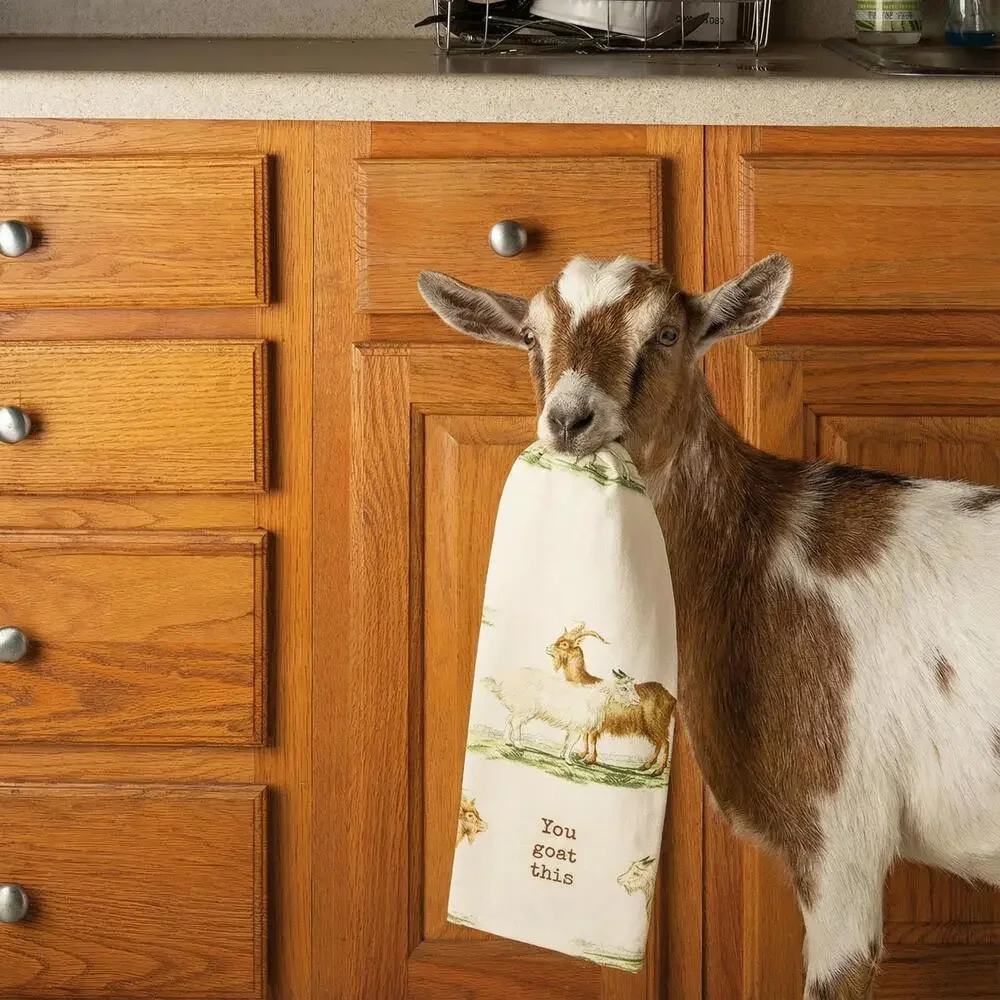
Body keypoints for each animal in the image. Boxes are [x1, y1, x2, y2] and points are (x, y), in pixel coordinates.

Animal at [482, 667, 640, 763]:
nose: (638, 700)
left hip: (519, 708)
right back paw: (519, 744)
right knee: (515, 722)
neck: (593, 698)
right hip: (525, 708)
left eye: (632, 687)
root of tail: (505, 683)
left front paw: (561, 756)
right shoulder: (577, 727)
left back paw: (507, 741)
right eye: (624, 688)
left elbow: (566, 741)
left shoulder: (572, 727)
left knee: (509, 719)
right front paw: (568, 760)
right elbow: (572, 742)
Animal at [547, 623, 676, 774]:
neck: (586, 682)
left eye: (564, 644)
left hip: (656, 723)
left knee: (665, 743)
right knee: (658, 743)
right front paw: (582, 755)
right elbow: (585, 737)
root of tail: (672, 697)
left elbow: (591, 738)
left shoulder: (596, 723)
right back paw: (647, 765)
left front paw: (589, 759)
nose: (547, 648)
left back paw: (658, 770)